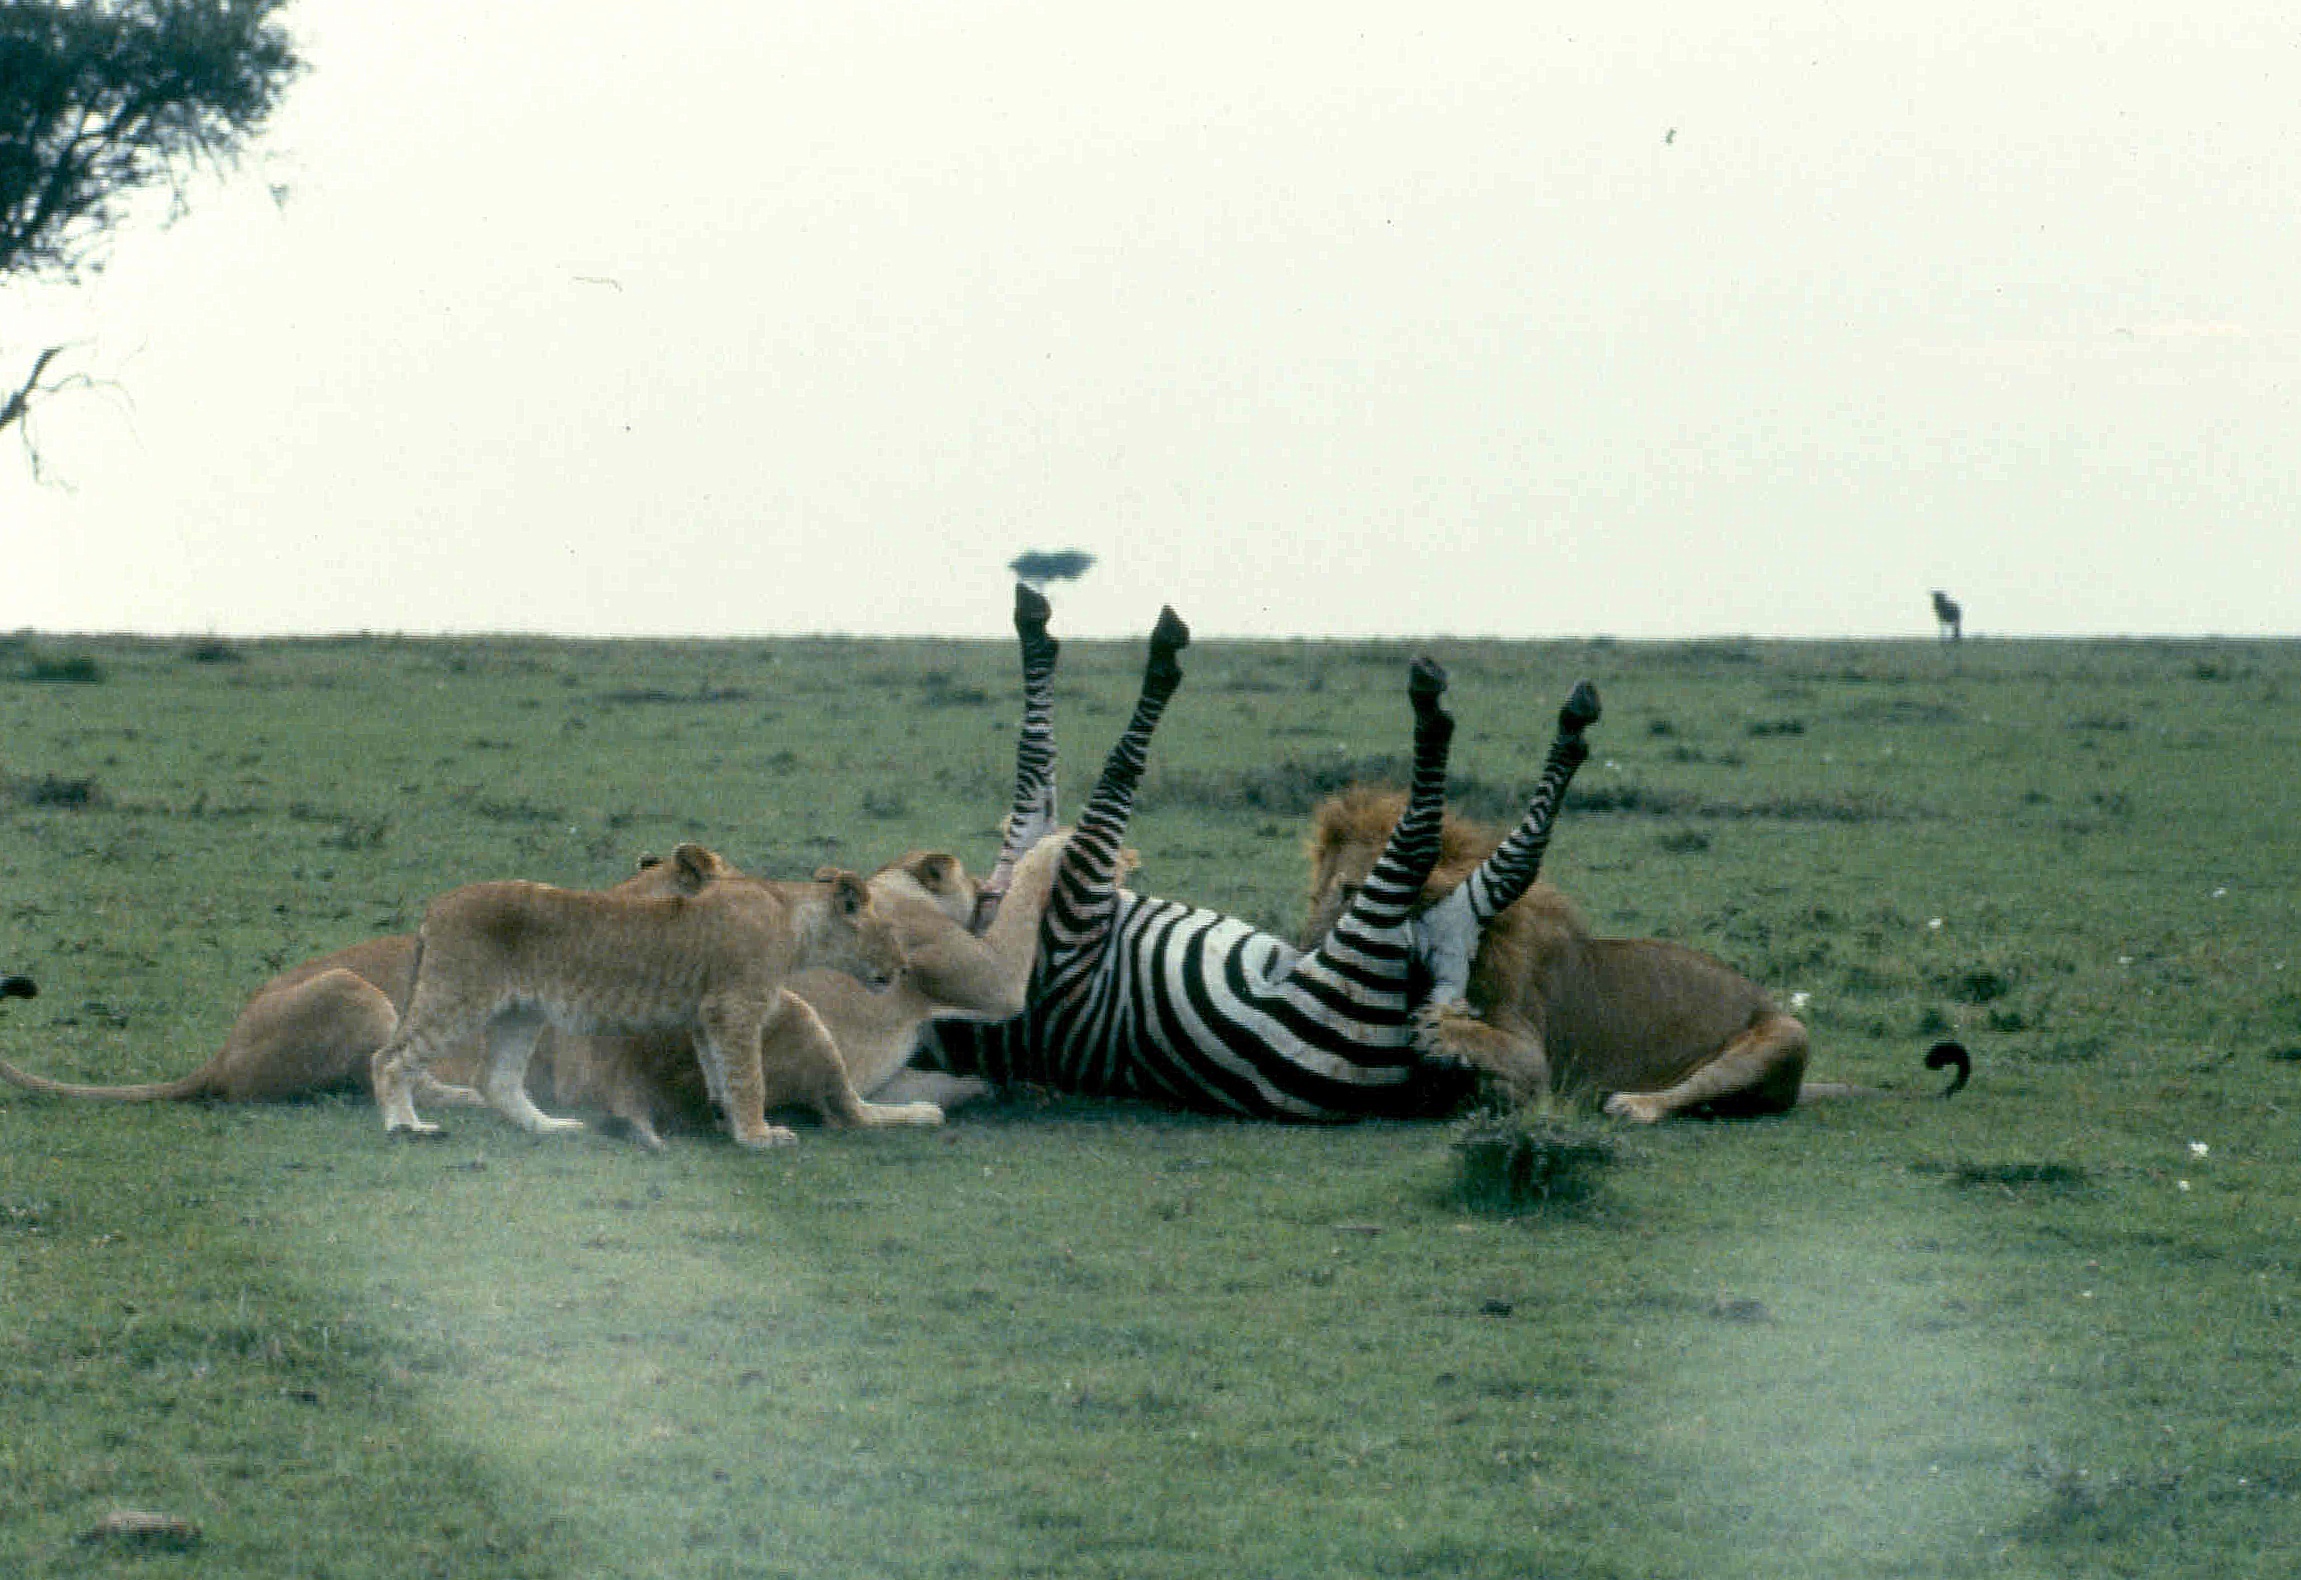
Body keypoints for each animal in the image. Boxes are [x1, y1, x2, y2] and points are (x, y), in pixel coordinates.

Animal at [372, 843, 909, 1147]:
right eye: (890, 932)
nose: (903, 969)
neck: (793, 918)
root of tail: (435, 907)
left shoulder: (707, 1016)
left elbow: (722, 1075)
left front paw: (730, 1125)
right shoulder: (735, 1006)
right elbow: (748, 1077)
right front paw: (760, 1136)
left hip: (520, 1013)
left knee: (496, 1079)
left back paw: (551, 1128)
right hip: (456, 996)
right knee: (389, 1059)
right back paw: (407, 1128)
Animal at [918, 588, 1600, 1121]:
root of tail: (1415, 1078)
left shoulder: (1041, 863)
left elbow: (1036, 765)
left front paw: (1036, 627)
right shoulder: (1075, 908)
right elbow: (1113, 765)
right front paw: (1159, 660)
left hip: (1431, 955)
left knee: (1485, 889)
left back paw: (1566, 721)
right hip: (1365, 952)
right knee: (1442, 850)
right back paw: (1442, 707)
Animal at [1304, 787, 1968, 1121]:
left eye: (1355, 892)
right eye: (1326, 887)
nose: (1310, 948)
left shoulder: (1533, 1052)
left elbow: (1494, 1048)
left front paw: (1450, 1039)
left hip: (1787, 1033)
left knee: (1690, 1093)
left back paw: (1629, 1104)